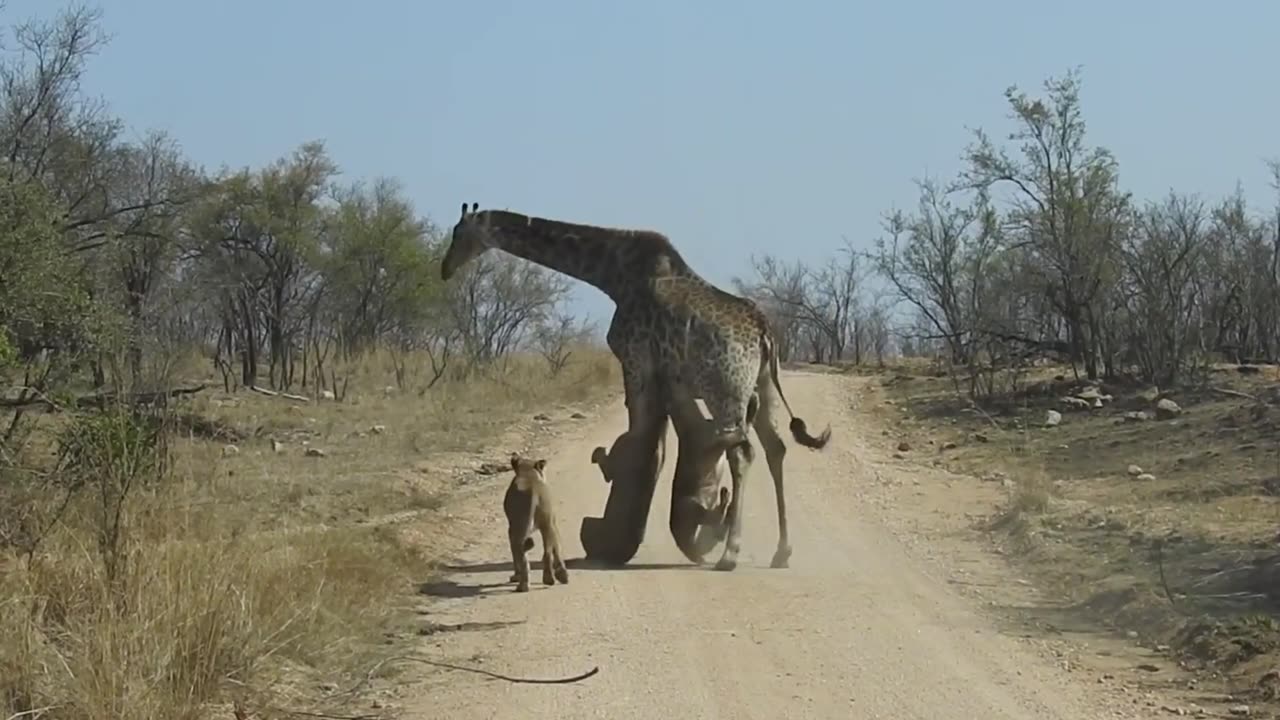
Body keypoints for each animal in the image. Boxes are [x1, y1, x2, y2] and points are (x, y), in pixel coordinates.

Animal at [445, 204, 834, 568]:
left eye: (458, 232)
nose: (445, 268)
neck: (613, 275)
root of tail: (765, 334)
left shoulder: (634, 361)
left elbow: (640, 438)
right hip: (763, 386)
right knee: (775, 449)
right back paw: (781, 552)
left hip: (726, 391)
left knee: (743, 453)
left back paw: (730, 554)